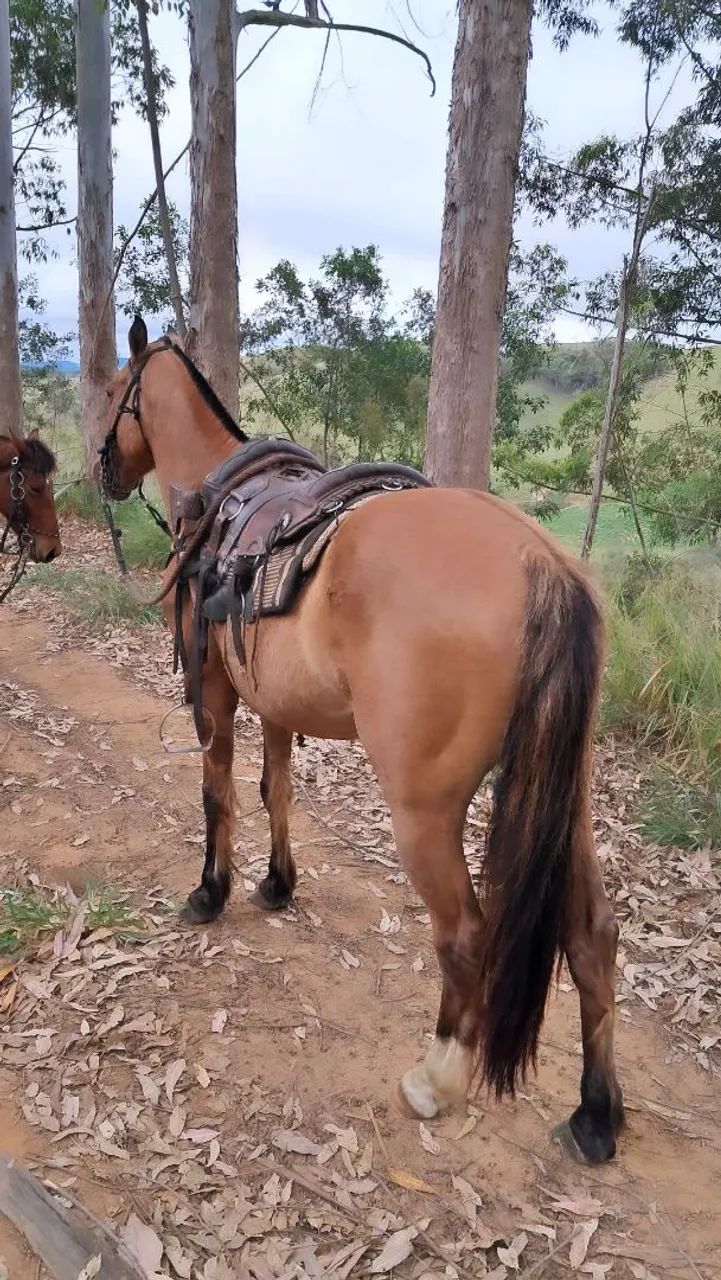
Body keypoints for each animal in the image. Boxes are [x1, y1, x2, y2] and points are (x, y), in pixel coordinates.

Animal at [97, 316, 624, 1164]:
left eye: (117, 388)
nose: (103, 465)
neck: (220, 495)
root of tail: (540, 564)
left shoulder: (215, 692)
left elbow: (217, 795)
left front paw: (211, 891)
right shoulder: (272, 701)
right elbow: (274, 790)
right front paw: (278, 883)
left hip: (423, 810)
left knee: (464, 934)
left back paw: (436, 1077)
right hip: (562, 794)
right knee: (592, 936)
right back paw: (595, 1112)